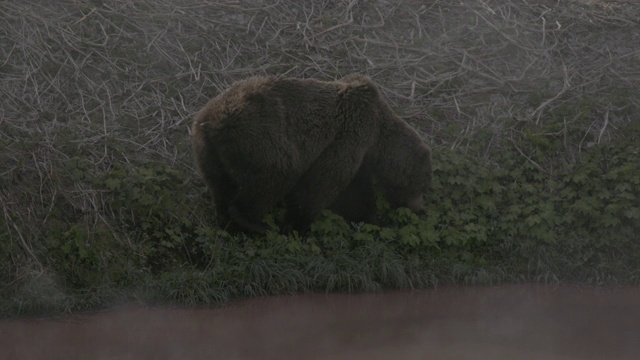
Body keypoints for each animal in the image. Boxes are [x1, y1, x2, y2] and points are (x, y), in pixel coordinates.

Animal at [189, 74, 430, 235]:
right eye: (421, 185)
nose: (420, 208)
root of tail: (212, 121)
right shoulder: (350, 131)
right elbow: (321, 185)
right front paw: (297, 224)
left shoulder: (358, 154)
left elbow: (355, 194)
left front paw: (372, 220)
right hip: (259, 136)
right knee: (277, 174)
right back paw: (254, 222)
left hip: (207, 150)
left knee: (220, 184)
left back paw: (227, 220)